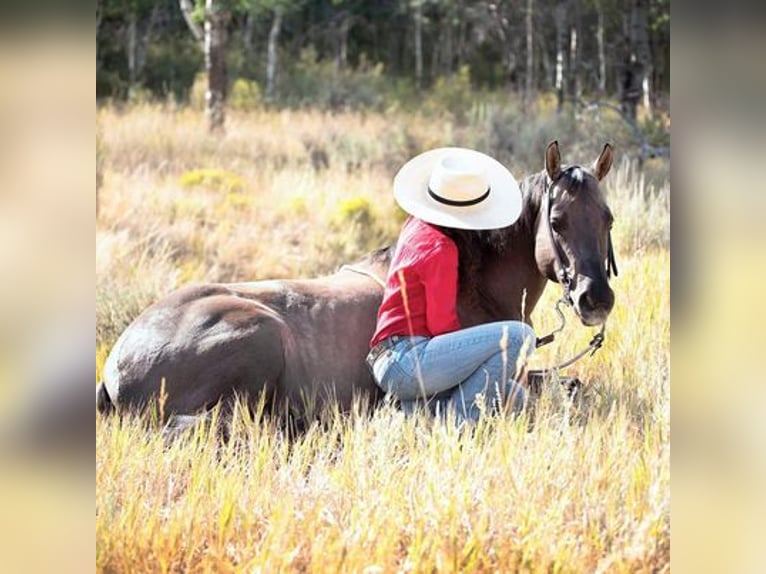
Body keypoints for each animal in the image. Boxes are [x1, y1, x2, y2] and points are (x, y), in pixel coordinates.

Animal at [99, 142, 620, 426]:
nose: (595, 298)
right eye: (557, 221)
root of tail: (117, 362)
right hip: (260, 338)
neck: (475, 281)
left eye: (608, 219)